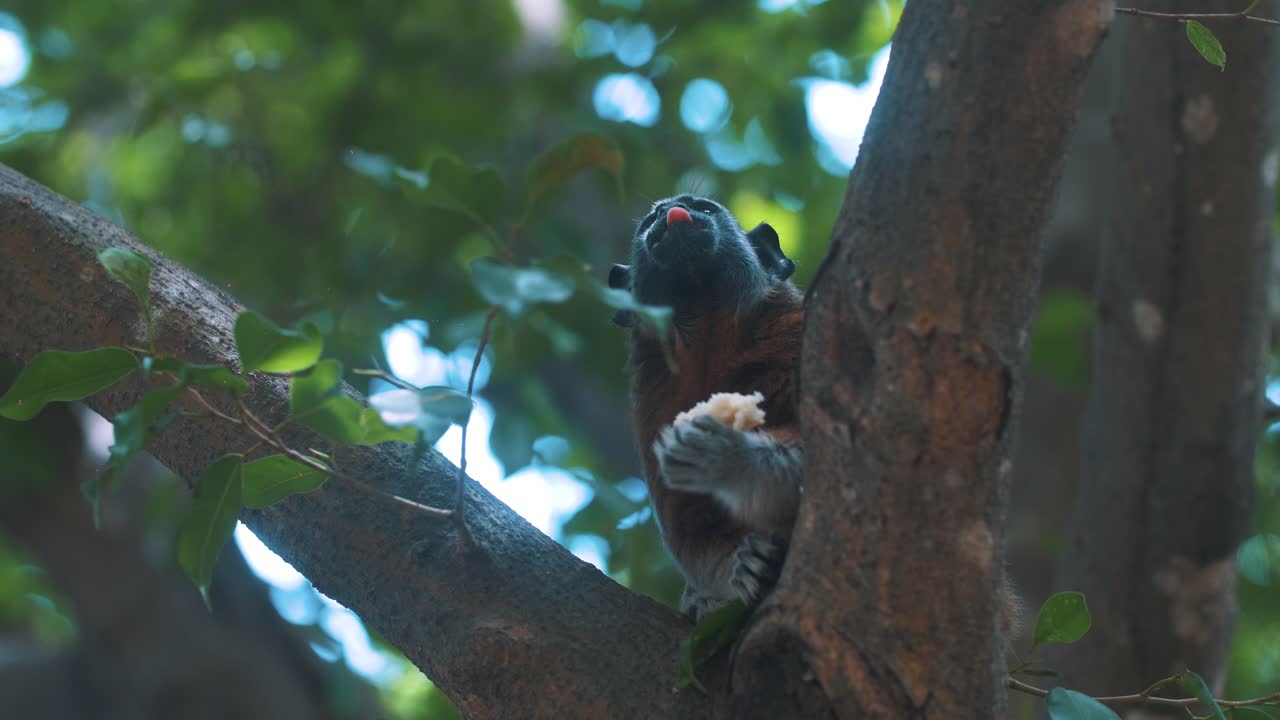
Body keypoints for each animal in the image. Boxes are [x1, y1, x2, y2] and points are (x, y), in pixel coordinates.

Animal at [608, 194, 805, 619]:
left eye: (703, 207)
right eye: (649, 221)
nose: (670, 211)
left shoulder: (793, 327)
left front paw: (732, 461)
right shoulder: (652, 403)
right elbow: (690, 530)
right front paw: (739, 569)